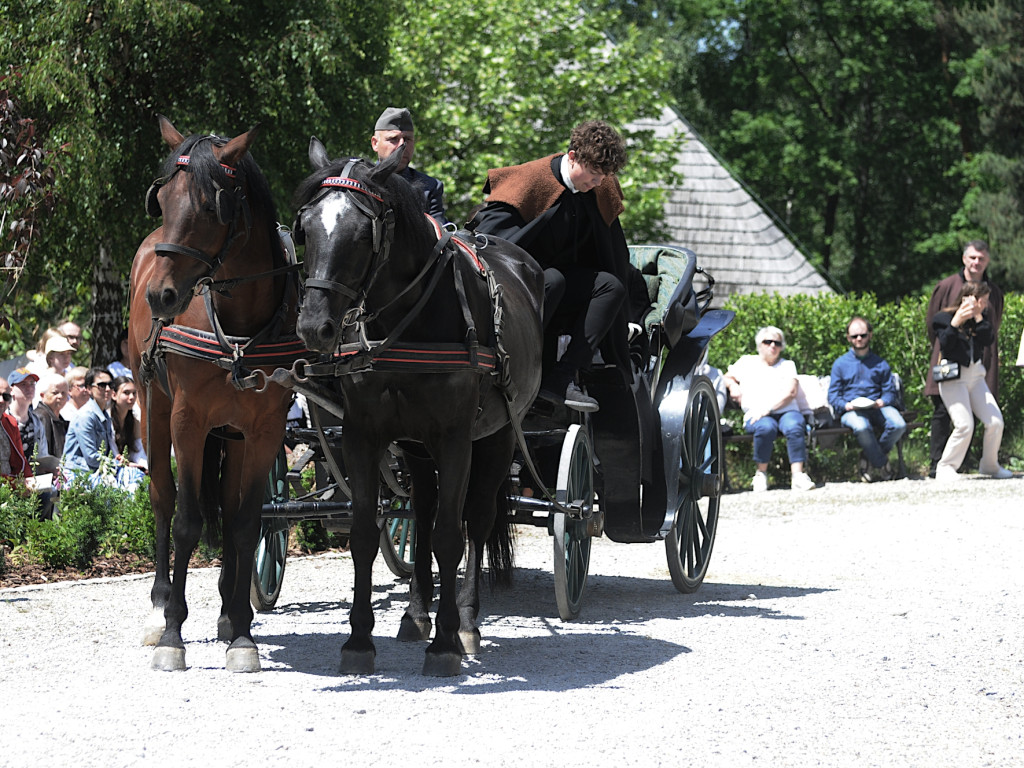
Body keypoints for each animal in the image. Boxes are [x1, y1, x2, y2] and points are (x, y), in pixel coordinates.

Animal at [128, 115, 296, 671]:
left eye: (208, 206)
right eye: (162, 199)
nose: (160, 296)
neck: (239, 325)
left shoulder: (264, 430)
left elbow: (244, 522)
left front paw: (242, 633)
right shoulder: (188, 422)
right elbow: (187, 520)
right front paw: (173, 634)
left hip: (232, 433)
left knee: (225, 504)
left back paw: (227, 610)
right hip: (152, 409)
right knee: (162, 496)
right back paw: (160, 606)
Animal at [292, 138, 544, 671]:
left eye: (362, 233)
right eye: (305, 228)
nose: (314, 327)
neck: (408, 320)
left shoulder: (455, 438)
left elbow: (452, 535)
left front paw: (447, 643)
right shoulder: (365, 435)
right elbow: (365, 533)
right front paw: (359, 641)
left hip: (497, 436)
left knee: (476, 519)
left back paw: (465, 621)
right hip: (415, 447)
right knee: (422, 513)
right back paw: (416, 613)